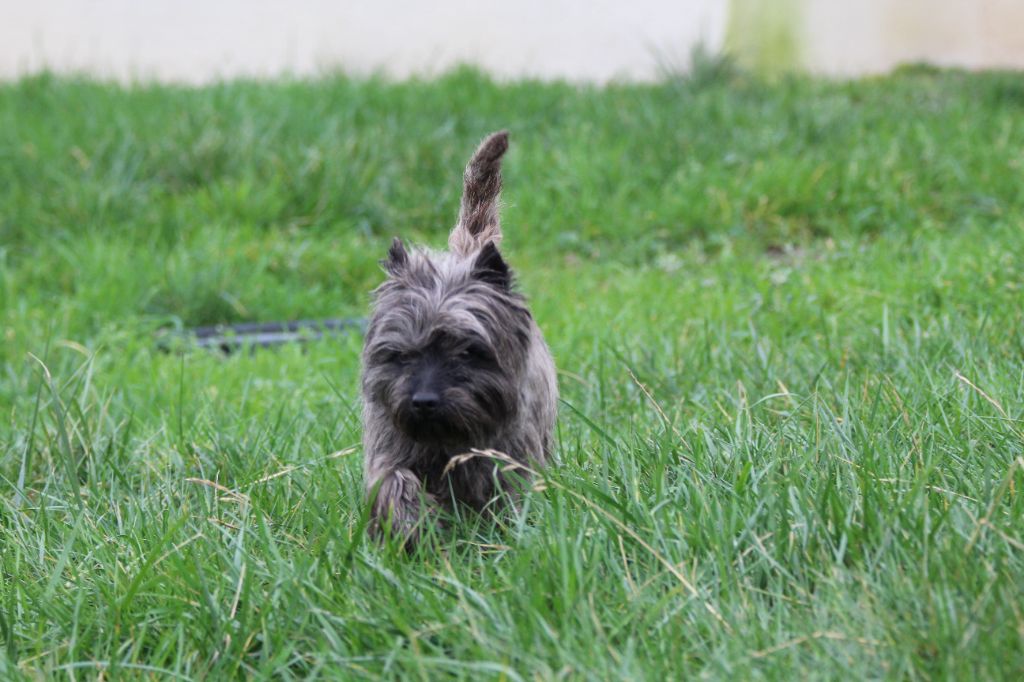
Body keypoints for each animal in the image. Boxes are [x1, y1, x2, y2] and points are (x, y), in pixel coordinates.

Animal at [356, 130, 557, 540]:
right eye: (402, 355)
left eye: (467, 351)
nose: (423, 401)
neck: (448, 438)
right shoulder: (390, 447)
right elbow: (394, 481)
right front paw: (416, 528)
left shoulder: (510, 457)